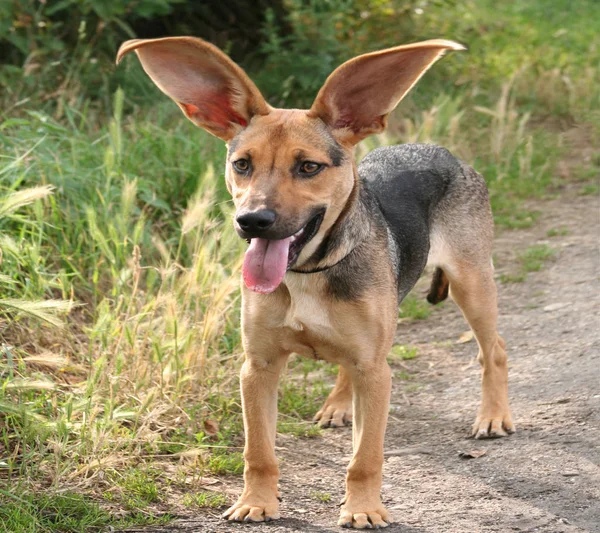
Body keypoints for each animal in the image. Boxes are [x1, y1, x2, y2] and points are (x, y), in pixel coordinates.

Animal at [118, 36, 516, 528]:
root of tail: (444, 152)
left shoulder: (375, 372)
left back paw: (493, 416)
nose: (252, 221)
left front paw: (363, 508)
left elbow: (365, 457)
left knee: (493, 349)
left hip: (471, 282)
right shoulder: (259, 367)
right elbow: (259, 451)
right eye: (242, 164)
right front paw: (256, 501)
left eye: (308, 167)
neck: (309, 271)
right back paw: (339, 405)